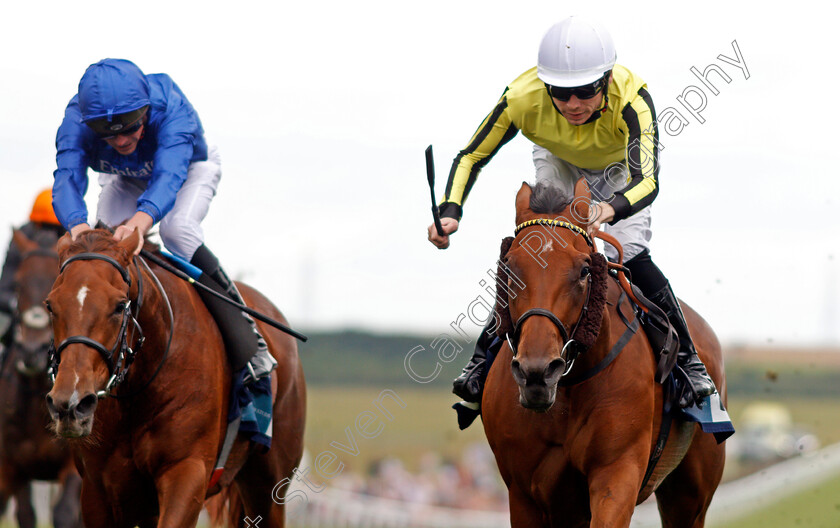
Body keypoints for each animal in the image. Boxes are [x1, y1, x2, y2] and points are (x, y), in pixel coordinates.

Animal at [0, 229, 83, 528]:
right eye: (18, 284)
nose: (31, 351)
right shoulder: (12, 467)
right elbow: (25, 514)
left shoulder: (73, 466)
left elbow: (65, 514)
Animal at [42, 231, 306, 528]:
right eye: (50, 305)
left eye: (120, 306)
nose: (70, 404)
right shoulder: (99, 488)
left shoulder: (188, 471)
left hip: (269, 482)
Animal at [480, 183, 728, 528]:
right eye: (508, 268)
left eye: (585, 269)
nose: (537, 373)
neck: (568, 390)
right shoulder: (524, 493)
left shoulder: (617, 472)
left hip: (690, 497)